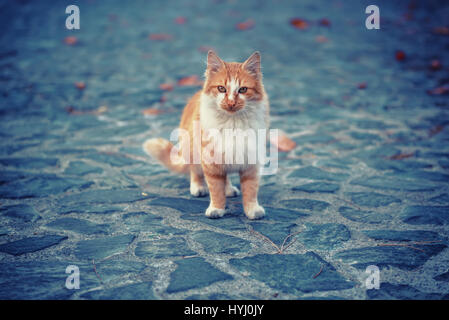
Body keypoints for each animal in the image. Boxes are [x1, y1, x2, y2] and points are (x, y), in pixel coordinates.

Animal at [144, 50, 270, 220]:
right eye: (221, 89)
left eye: (243, 90)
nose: (231, 103)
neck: (232, 123)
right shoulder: (211, 161)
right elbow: (216, 189)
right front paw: (217, 209)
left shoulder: (251, 161)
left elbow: (250, 190)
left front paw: (252, 210)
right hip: (192, 150)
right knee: (195, 172)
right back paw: (198, 188)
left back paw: (229, 189)